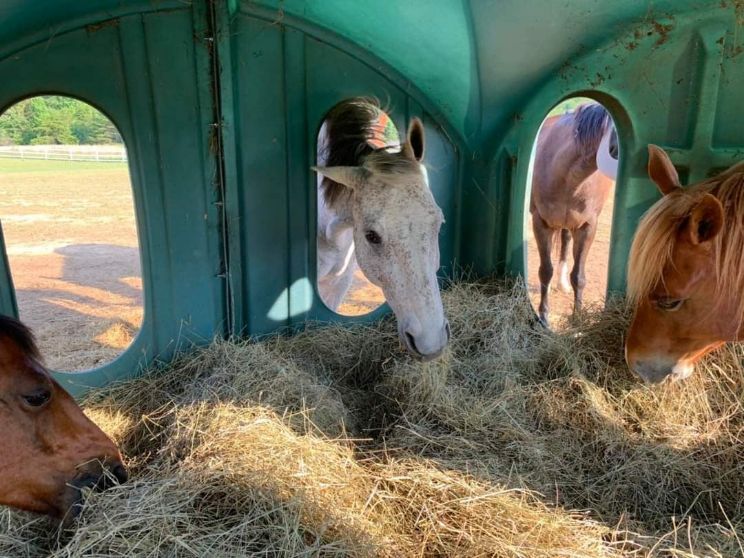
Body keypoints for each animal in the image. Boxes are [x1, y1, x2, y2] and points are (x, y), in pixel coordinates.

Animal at [530, 102, 619, 326]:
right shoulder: (540, 222)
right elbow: (545, 271)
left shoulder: (587, 226)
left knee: (565, 241)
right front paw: (543, 317)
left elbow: (579, 276)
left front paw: (577, 318)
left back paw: (562, 284)